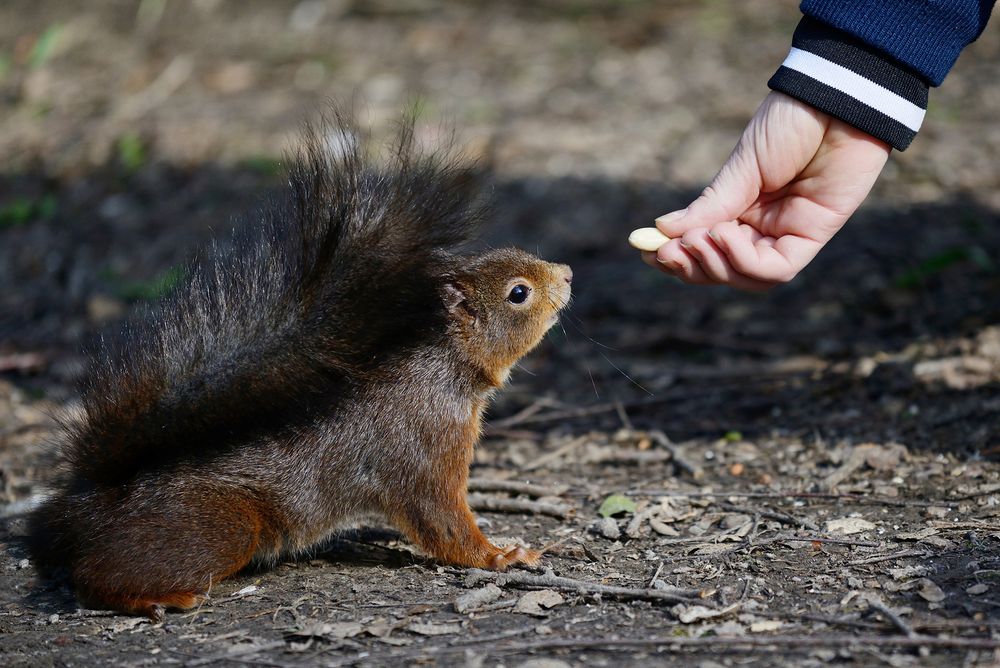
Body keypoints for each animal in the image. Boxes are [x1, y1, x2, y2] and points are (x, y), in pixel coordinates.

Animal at [29, 111, 572, 620]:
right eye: (519, 293)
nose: (567, 273)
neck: (443, 372)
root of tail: (83, 505)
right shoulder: (423, 450)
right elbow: (443, 522)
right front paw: (502, 556)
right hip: (220, 525)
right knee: (92, 576)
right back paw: (157, 598)